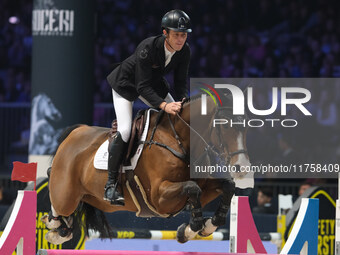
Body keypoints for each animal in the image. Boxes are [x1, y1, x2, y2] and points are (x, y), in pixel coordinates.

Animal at [41, 93, 250, 245]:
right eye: (224, 127)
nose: (242, 167)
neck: (181, 141)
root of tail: (77, 131)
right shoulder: (158, 197)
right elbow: (192, 188)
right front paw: (192, 228)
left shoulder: (202, 187)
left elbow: (227, 186)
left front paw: (202, 227)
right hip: (66, 196)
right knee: (58, 197)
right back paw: (55, 224)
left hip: (95, 199)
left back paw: (61, 228)